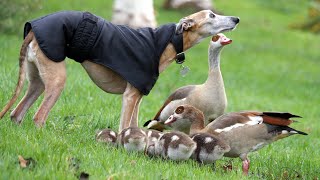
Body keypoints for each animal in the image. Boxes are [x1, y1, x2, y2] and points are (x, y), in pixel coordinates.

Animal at [0, 9, 239, 131]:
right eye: (211, 16)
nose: (236, 19)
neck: (166, 42)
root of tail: (34, 29)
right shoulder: (130, 96)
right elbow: (125, 126)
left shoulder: (137, 96)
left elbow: (133, 125)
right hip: (57, 81)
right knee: (38, 117)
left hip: (38, 81)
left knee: (16, 113)